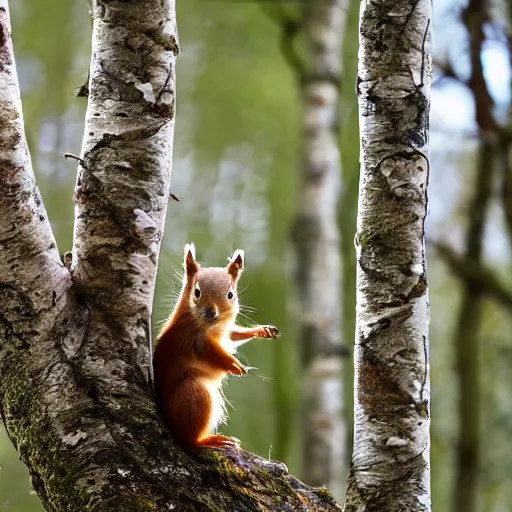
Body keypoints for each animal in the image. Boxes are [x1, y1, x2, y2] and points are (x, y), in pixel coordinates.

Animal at [153, 246, 280, 450]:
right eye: (196, 292)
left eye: (231, 294)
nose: (211, 312)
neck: (213, 325)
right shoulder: (197, 340)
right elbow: (213, 353)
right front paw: (235, 365)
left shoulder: (226, 332)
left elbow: (235, 335)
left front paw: (262, 330)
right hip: (195, 393)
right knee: (189, 439)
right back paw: (209, 440)